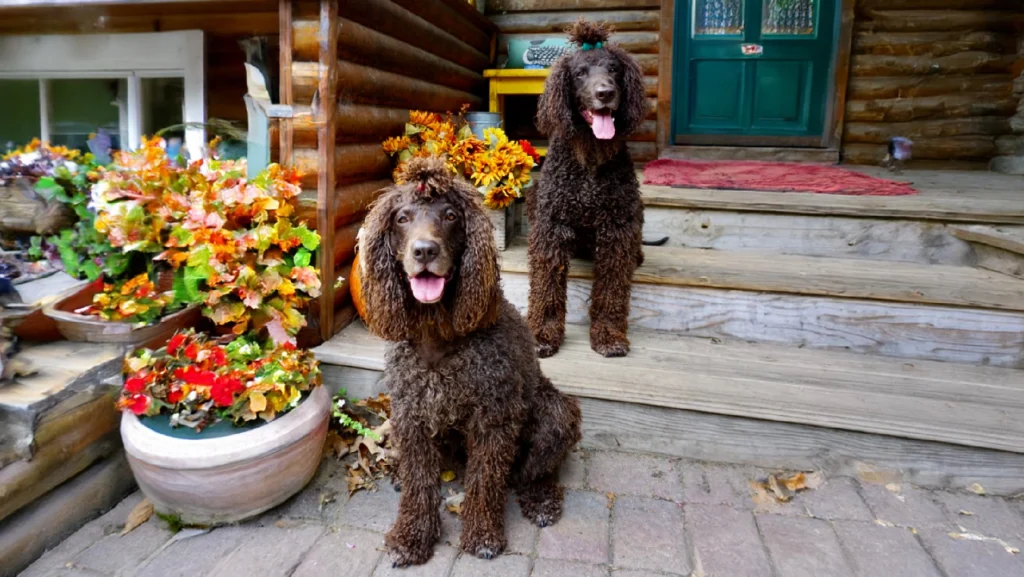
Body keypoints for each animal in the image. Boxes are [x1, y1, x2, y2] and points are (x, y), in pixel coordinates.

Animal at [358, 155, 585, 565]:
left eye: (450, 215)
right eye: (402, 218)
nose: (425, 251)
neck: (438, 336)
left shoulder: (493, 420)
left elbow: (485, 481)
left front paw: (482, 533)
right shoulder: (412, 415)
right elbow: (420, 481)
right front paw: (411, 536)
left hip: (555, 412)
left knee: (535, 469)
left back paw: (541, 499)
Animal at [528, 20, 647, 358]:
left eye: (614, 70)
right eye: (580, 73)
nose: (605, 92)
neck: (591, 156)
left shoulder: (617, 228)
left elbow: (611, 288)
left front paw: (608, 335)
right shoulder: (551, 226)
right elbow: (547, 286)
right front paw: (543, 334)